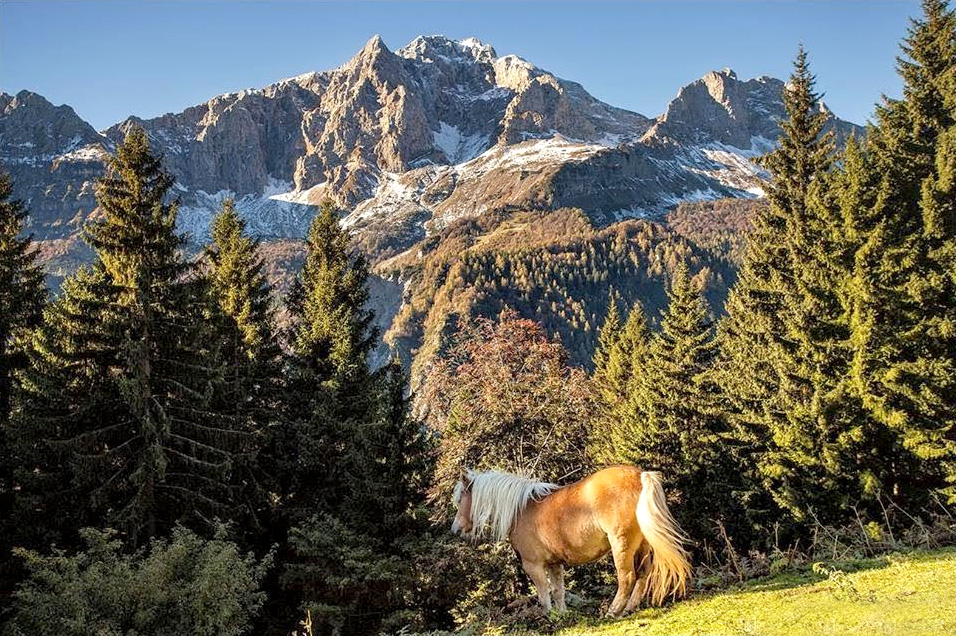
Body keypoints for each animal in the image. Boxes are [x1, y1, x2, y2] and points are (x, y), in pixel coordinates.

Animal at [452, 464, 692, 620]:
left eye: (460, 498)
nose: (455, 529)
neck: (521, 510)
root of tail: (640, 475)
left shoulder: (533, 565)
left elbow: (544, 594)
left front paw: (550, 618)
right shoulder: (554, 564)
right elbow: (558, 591)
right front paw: (563, 616)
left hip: (621, 545)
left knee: (627, 578)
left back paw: (613, 611)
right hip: (641, 546)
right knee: (643, 575)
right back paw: (629, 608)